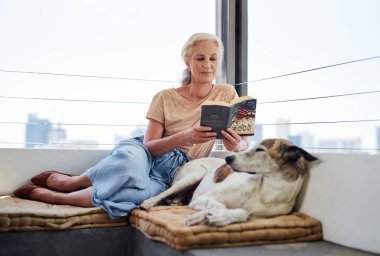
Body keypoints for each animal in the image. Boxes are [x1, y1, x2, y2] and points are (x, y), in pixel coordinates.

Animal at [140, 140, 318, 226]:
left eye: (260, 150)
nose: (228, 158)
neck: (266, 191)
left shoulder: (256, 215)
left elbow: (242, 212)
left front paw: (218, 217)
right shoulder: (203, 199)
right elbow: (220, 206)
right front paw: (209, 216)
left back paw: (176, 201)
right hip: (196, 175)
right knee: (163, 193)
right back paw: (149, 203)